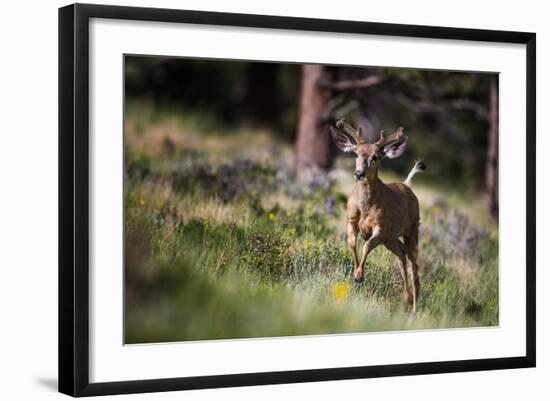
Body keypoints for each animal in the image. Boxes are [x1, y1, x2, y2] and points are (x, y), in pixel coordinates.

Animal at [332, 119, 426, 312]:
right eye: (355, 153)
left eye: (375, 157)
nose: (358, 173)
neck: (365, 208)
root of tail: (407, 185)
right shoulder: (350, 220)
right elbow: (352, 242)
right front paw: (356, 274)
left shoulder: (380, 228)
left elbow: (367, 245)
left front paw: (359, 276)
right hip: (391, 239)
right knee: (402, 255)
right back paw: (406, 297)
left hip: (412, 230)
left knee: (414, 267)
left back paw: (414, 309)